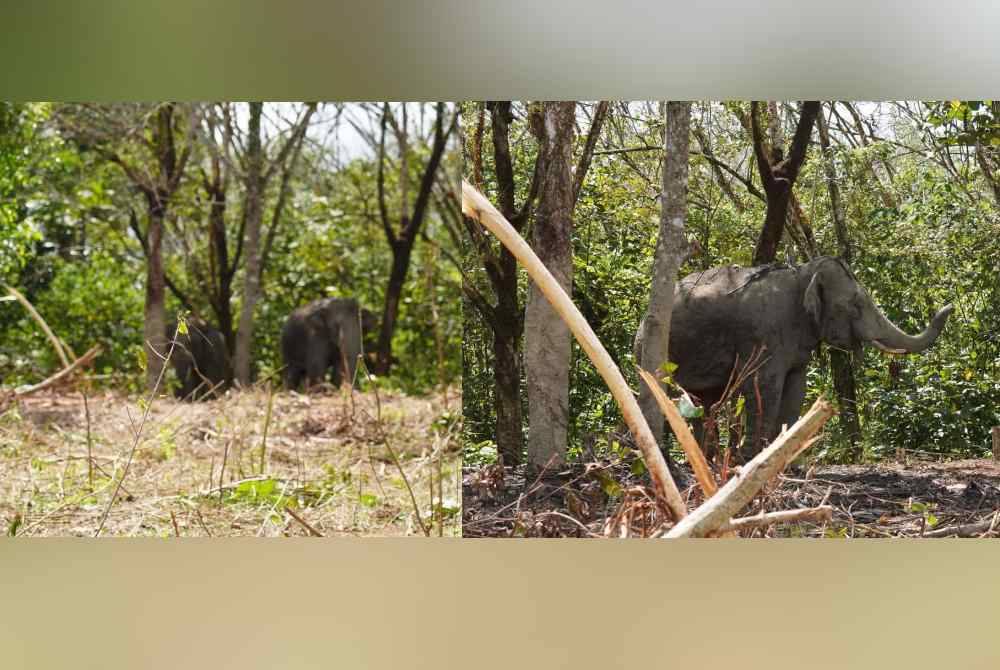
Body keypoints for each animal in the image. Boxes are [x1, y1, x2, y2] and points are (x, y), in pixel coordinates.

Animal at [636, 256, 956, 456]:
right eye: (855, 305)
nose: (950, 306)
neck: (803, 273)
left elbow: (795, 390)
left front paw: (786, 464)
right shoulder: (763, 333)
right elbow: (764, 387)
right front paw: (750, 461)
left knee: (705, 402)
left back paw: (706, 459)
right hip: (653, 350)